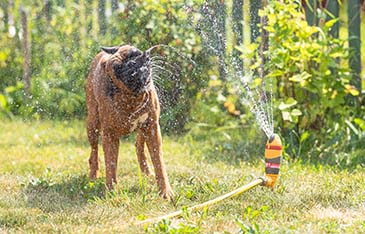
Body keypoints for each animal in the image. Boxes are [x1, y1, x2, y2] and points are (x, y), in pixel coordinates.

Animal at [84, 44, 173, 199]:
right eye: (118, 68)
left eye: (135, 53)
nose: (132, 63)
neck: (131, 98)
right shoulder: (110, 136)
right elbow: (111, 165)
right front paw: (112, 191)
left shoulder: (152, 127)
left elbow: (159, 162)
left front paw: (165, 191)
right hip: (92, 124)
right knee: (94, 151)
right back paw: (93, 174)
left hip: (145, 129)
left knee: (139, 145)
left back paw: (146, 171)